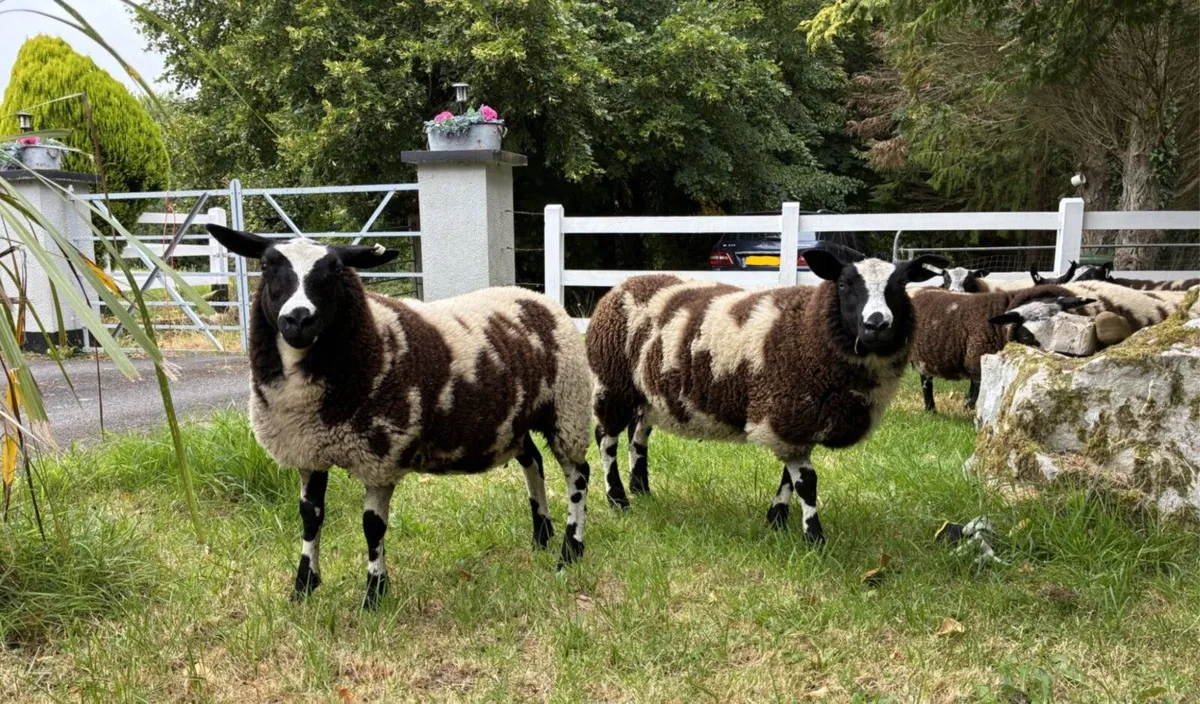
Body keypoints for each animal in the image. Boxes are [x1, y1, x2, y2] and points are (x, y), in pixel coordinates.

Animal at [205, 225, 594, 608]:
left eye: (334, 270)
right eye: (267, 265)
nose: (298, 319)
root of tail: (534, 296)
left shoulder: (381, 454)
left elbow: (371, 526)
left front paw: (374, 593)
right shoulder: (307, 451)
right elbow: (310, 517)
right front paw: (303, 588)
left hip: (567, 406)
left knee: (578, 475)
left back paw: (570, 551)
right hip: (514, 420)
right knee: (533, 460)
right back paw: (541, 535)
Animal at [585, 247, 948, 542]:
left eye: (900, 285)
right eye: (844, 284)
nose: (877, 324)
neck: (808, 330)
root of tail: (623, 285)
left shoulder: (793, 419)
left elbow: (789, 477)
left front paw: (776, 519)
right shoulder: (785, 414)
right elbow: (807, 482)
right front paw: (814, 539)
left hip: (647, 391)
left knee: (638, 434)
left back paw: (641, 488)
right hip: (612, 381)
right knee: (606, 439)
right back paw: (618, 499)